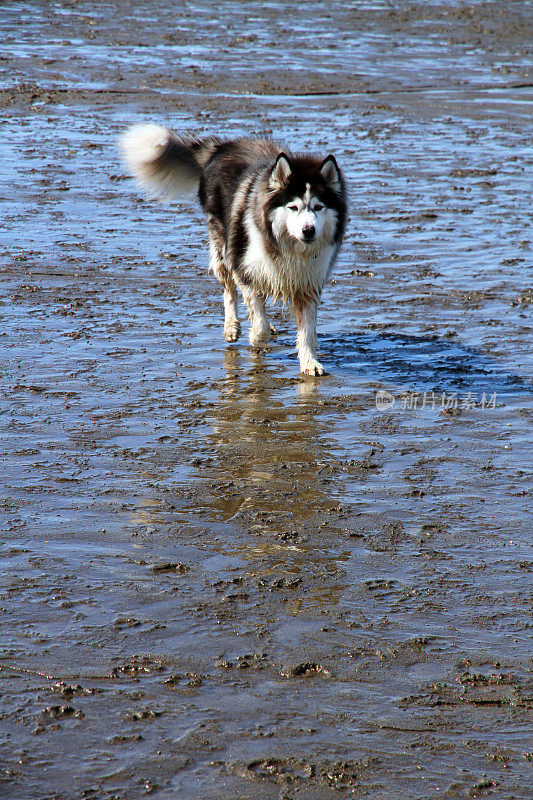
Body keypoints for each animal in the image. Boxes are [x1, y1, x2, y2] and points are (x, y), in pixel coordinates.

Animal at [118, 124, 348, 376]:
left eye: (318, 207)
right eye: (293, 207)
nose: (309, 230)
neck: (287, 248)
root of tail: (223, 146)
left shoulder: (307, 283)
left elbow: (306, 331)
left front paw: (309, 362)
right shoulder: (244, 269)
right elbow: (259, 322)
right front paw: (256, 338)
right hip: (223, 249)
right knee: (229, 290)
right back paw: (232, 327)